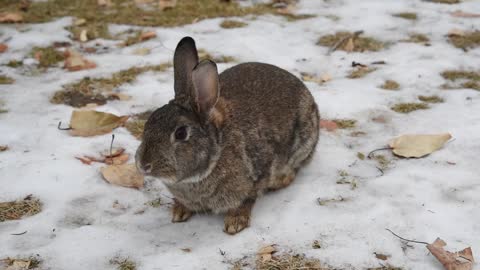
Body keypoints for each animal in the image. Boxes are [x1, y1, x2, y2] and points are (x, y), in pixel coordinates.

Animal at [135, 36, 320, 234]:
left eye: (181, 133)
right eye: (148, 122)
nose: (143, 165)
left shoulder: (258, 173)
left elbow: (247, 199)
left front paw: (235, 222)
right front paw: (179, 212)